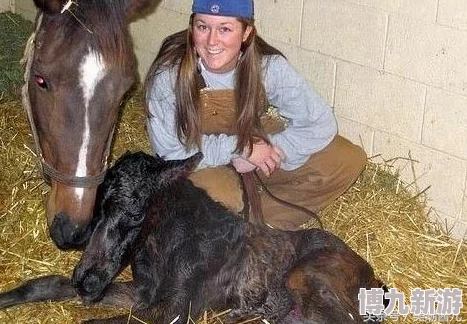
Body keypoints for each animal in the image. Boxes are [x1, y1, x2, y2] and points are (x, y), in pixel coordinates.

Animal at [0, 152, 388, 324]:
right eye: (96, 211)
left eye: (136, 214)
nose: (86, 282)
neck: (168, 245)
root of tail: (371, 274)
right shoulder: (143, 293)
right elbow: (48, 285)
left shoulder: (173, 308)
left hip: (309, 278)